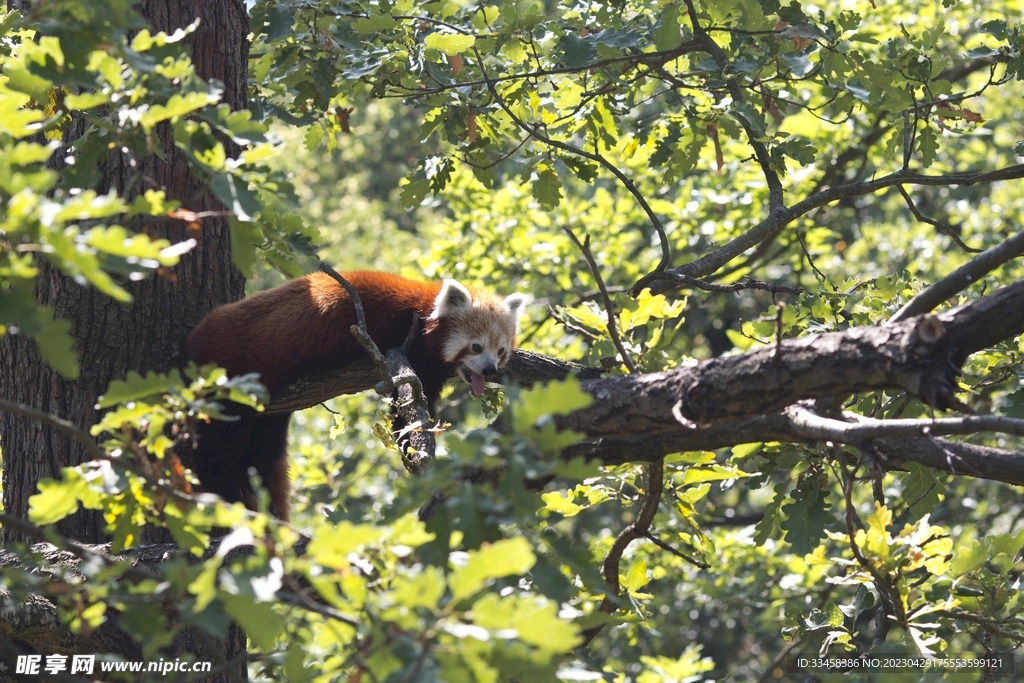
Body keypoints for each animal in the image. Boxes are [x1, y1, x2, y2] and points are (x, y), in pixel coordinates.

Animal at [184, 270, 524, 520]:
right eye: (476, 347)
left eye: (500, 350)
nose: (489, 369)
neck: (424, 310)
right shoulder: (400, 348)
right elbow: (407, 406)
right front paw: (411, 444)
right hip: (229, 379)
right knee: (219, 447)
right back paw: (221, 492)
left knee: (262, 453)